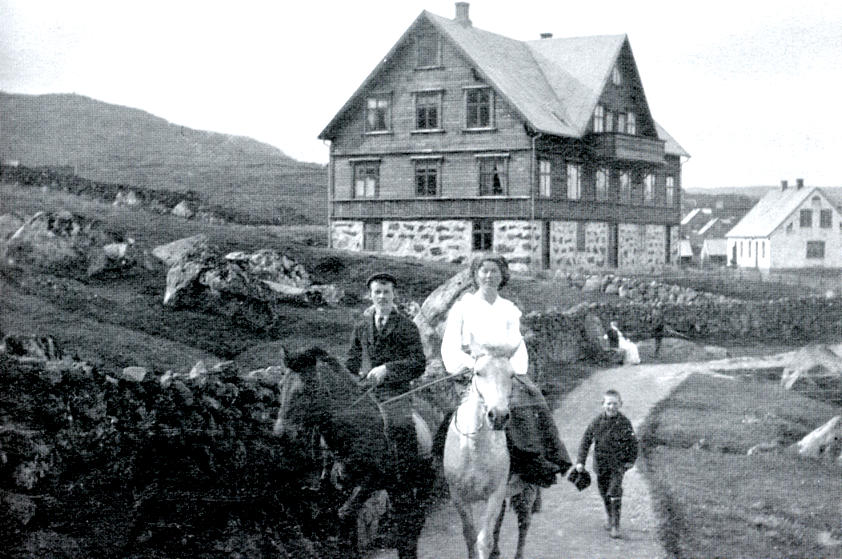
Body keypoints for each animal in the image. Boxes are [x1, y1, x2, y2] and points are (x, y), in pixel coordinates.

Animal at [274, 346, 438, 559]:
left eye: (302, 391)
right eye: (280, 387)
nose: (280, 434)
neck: (354, 429)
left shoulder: (371, 480)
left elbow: (344, 514)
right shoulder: (343, 486)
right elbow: (346, 525)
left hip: (421, 481)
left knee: (414, 520)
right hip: (398, 487)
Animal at [443, 346, 540, 559]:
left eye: (511, 375)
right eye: (478, 372)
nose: (499, 416)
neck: (473, 451)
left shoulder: (495, 494)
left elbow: (483, 539)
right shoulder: (458, 497)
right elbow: (470, 535)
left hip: (527, 488)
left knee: (524, 523)